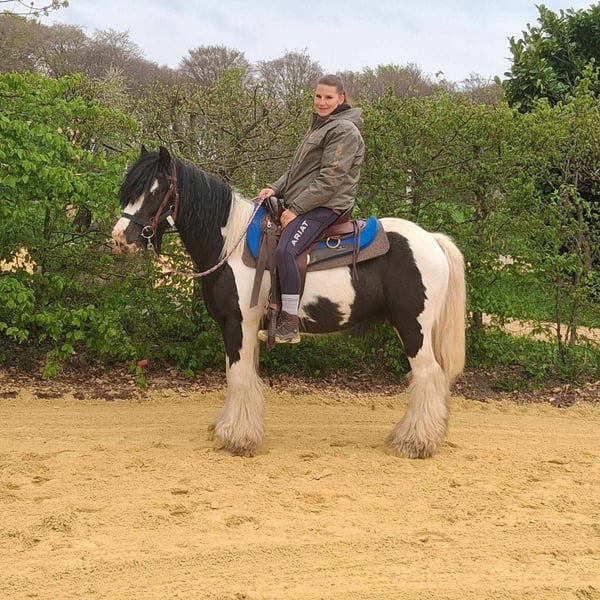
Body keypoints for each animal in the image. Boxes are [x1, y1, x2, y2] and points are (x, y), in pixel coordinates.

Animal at [112, 146, 466, 459]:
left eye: (156, 190)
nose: (120, 238)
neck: (231, 244)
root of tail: (432, 240)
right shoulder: (239, 326)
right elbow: (238, 374)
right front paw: (229, 429)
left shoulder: (238, 324)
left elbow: (238, 375)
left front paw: (237, 439)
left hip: (413, 327)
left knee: (428, 375)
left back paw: (414, 443)